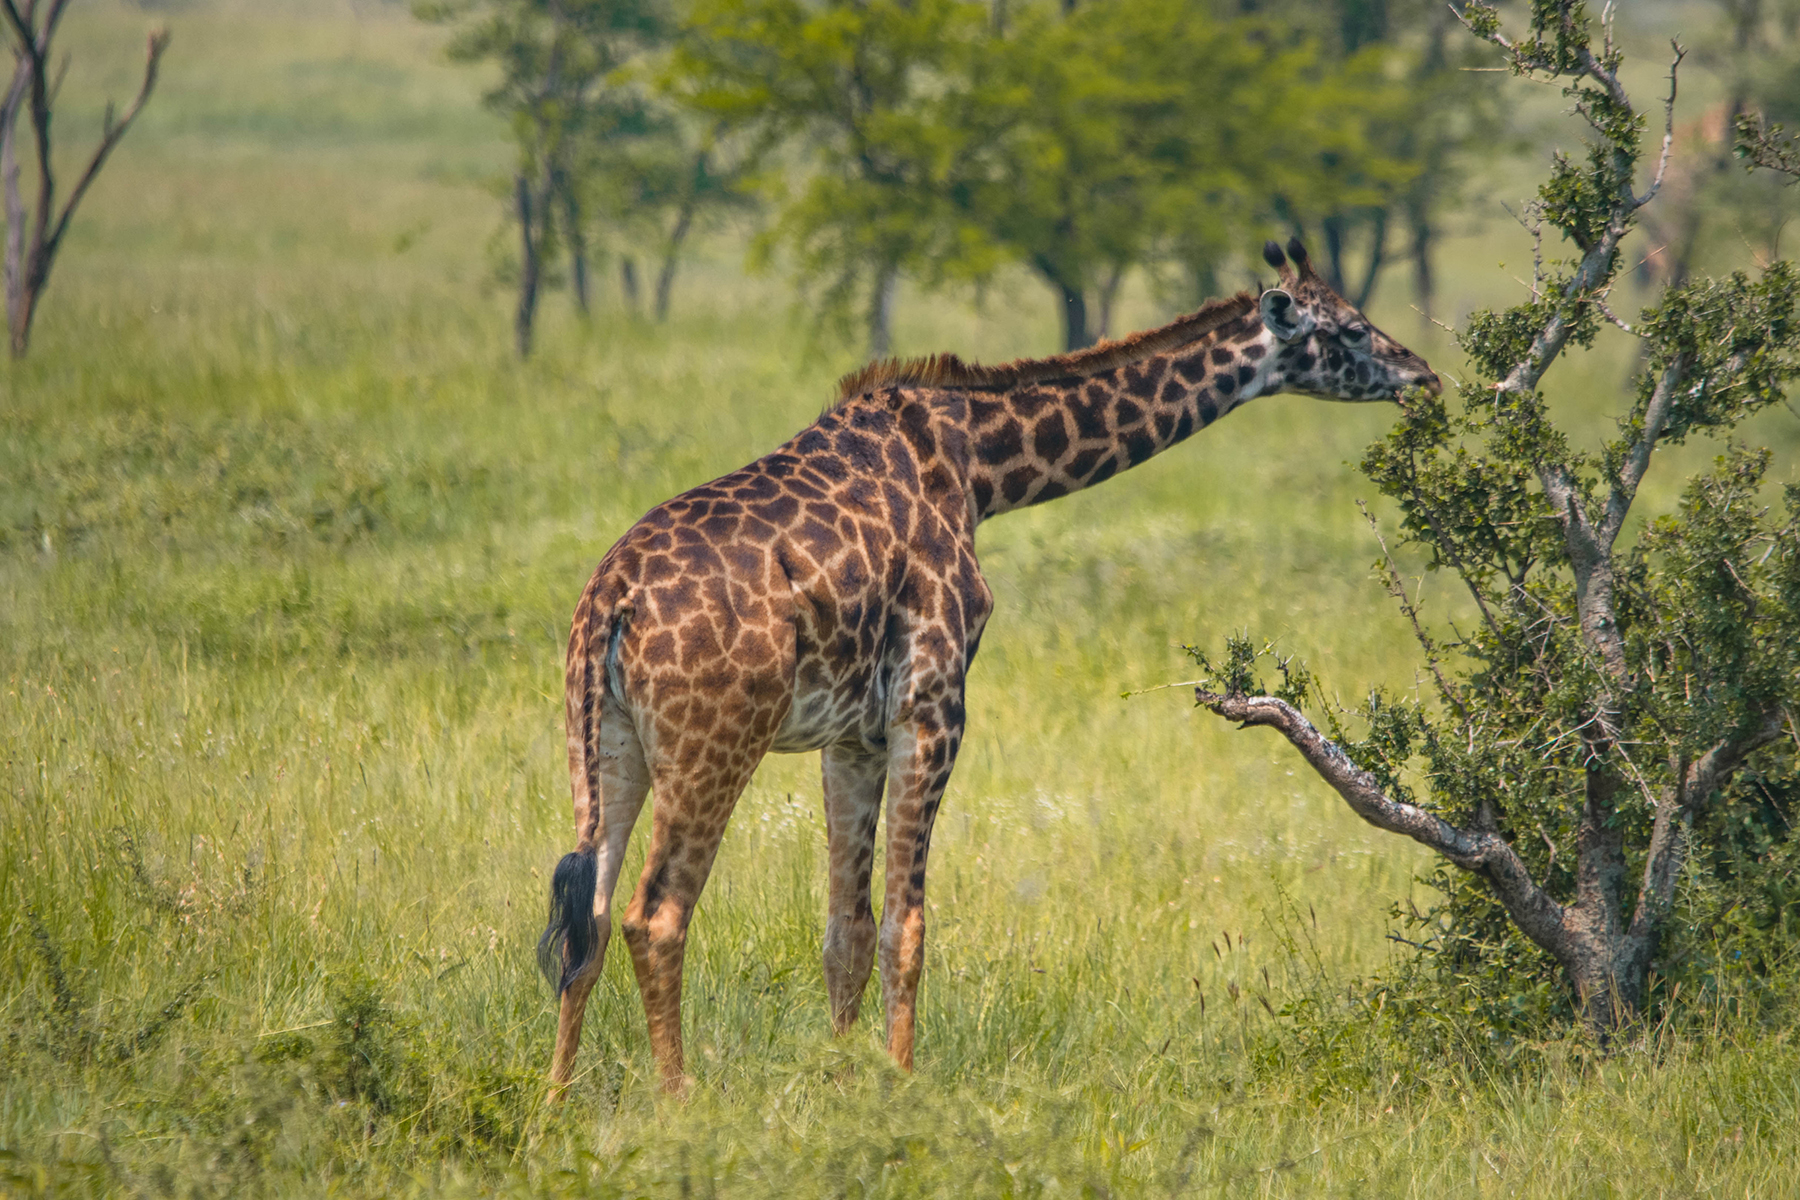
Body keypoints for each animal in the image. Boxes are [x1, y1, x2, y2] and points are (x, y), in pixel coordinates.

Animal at [540, 233, 1440, 1101]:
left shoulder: (852, 735)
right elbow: (907, 924)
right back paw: (678, 1101)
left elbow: (846, 932)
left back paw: (556, 1100)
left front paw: (844, 1083)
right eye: (1350, 330)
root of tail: (612, 599)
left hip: (606, 741)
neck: (979, 465)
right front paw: (900, 1087)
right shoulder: (933, 706)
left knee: (587, 912)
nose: (1424, 375)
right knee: (654, 917)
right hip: (714, 744)